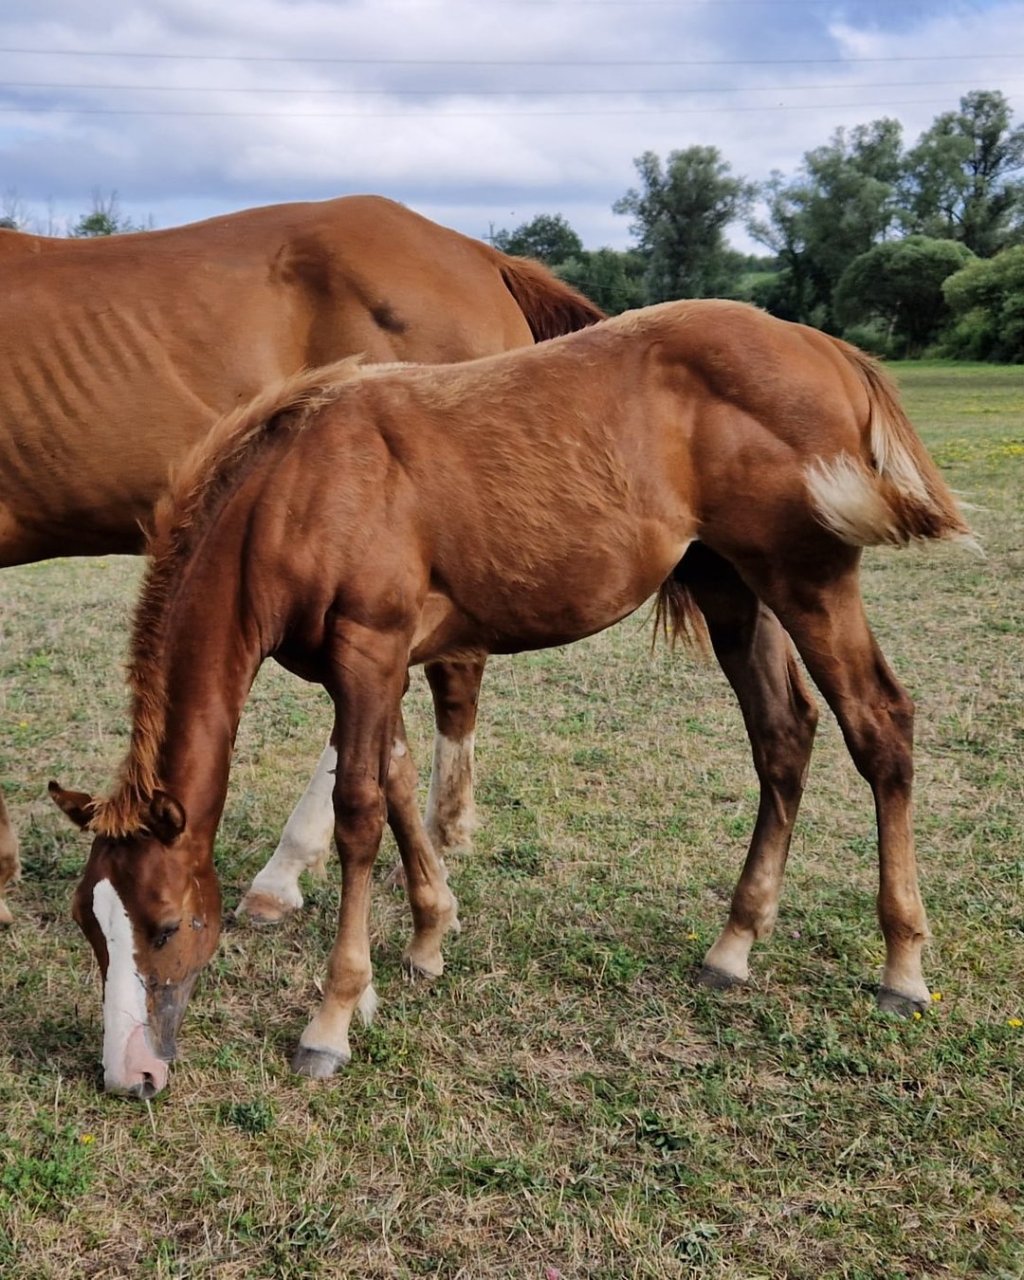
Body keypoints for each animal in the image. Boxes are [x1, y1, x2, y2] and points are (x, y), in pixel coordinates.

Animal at [50, 298, 972, 1098]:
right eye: (91, 925)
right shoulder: (380, 667)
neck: (298, 491)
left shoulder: (370, 649)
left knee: (879, 724)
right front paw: (426, 939)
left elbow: (359, 813)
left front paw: (333, 1018)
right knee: (783, 734)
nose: (132, 1073)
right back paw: (733, 945)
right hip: (732, 586)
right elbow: (397, 781)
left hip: (809, 580)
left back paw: (902, 966)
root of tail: (830, 350)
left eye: (167, 925)